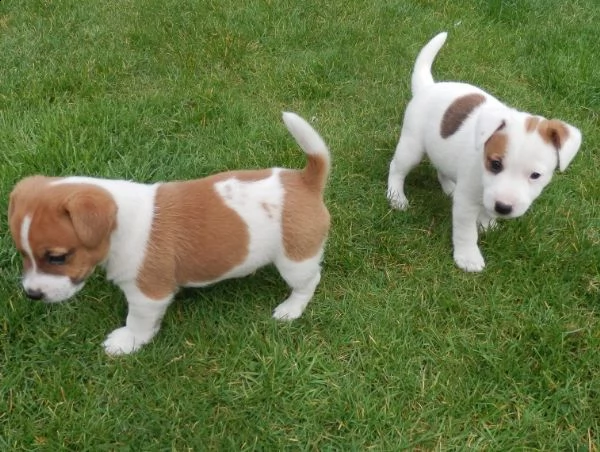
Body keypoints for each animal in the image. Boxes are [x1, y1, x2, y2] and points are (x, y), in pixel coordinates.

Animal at [7, 111, 330, 354]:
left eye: (57, 257)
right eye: (23, 254)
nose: (32, 294)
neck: (120, 225)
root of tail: (305, 180)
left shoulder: (147, 294)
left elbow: (137, 321)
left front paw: (127, 342)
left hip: (295, 259)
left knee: (310, 281)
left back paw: (290, 309)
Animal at [386, 32, 584, 272]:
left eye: (536, 175)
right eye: (495, 164)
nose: (504, 208)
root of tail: (428, 87)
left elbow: (485, 209)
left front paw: (486, 222)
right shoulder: (467, 203)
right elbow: (466, 232)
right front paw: (468, 257)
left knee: (442, 168)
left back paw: (449, 188)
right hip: (412, 146)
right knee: (397, 169)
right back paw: (396, 197)